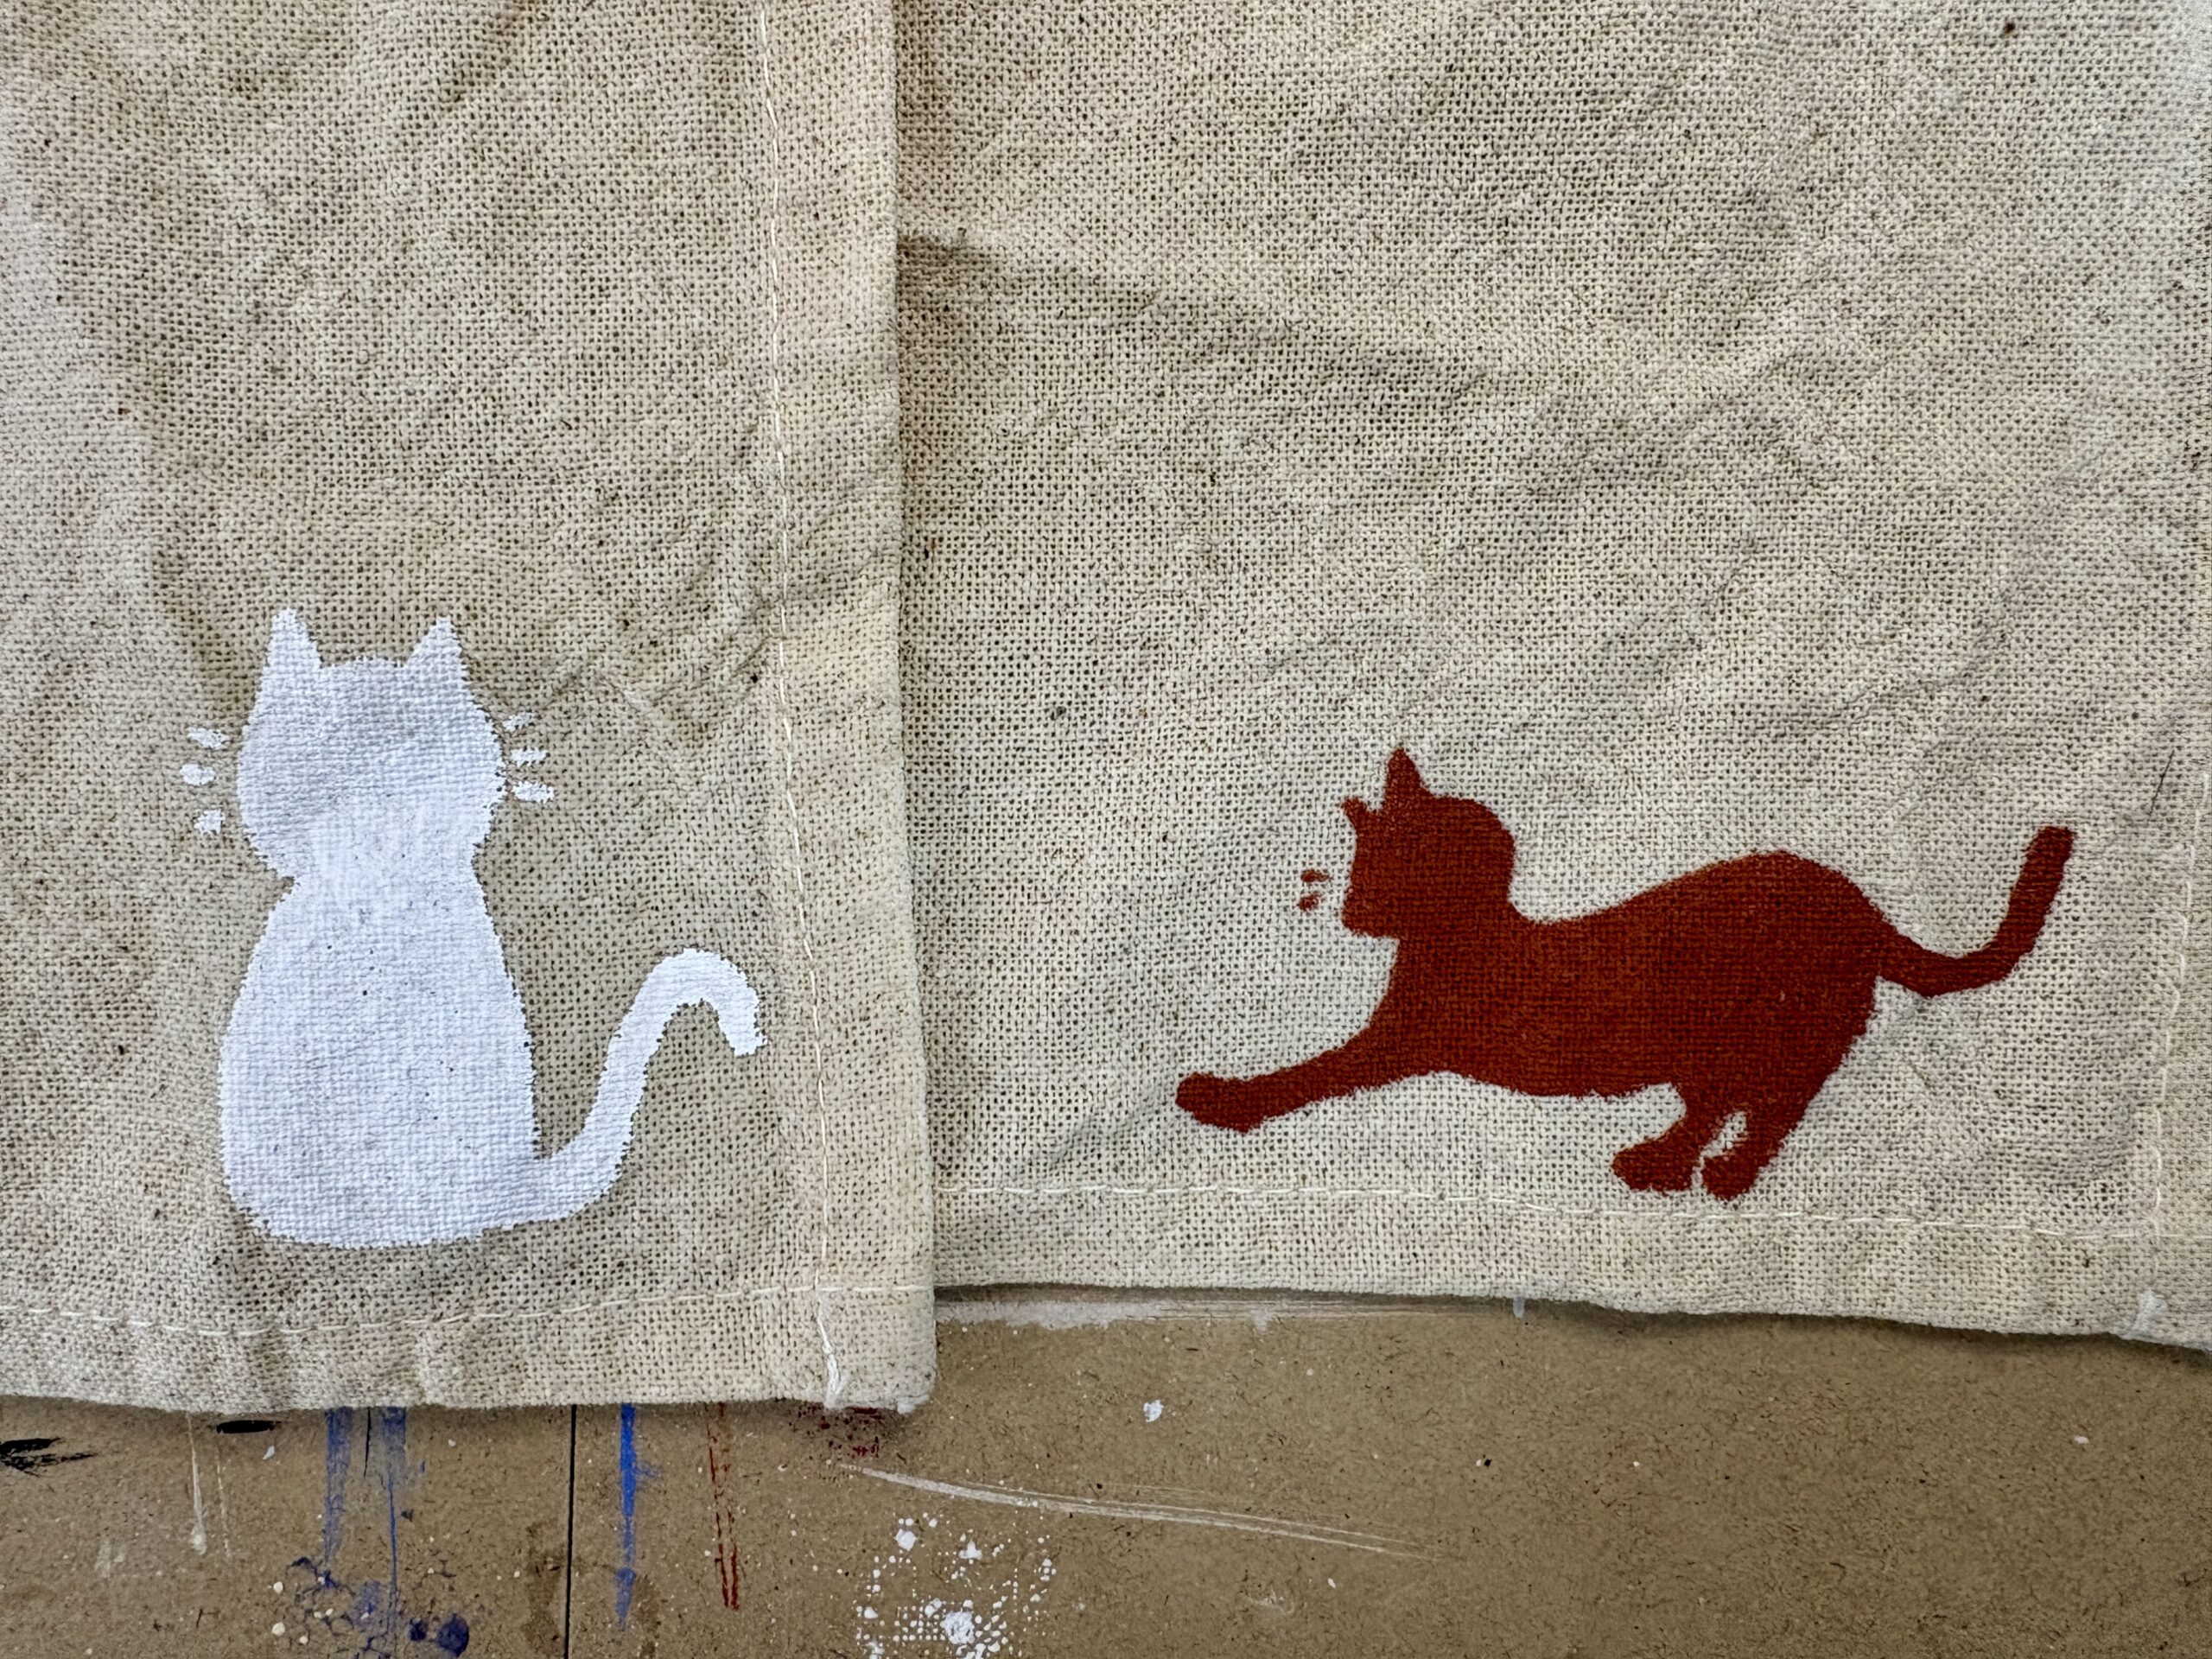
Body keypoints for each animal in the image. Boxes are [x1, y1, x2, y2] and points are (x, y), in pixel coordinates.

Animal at [1177, 749, 2074, 1200]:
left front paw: (1221, 1098)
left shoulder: (1401, 1041)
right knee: (1723, 1104)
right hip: (1724, 1039)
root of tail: (1858, 905)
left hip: (1769, 1024)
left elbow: (1309, 1073)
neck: (1461, 935)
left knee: (1771, 1106)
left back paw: (1707, 1174)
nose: (1349, 912)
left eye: (1381, 873)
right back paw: (1667, 1164)